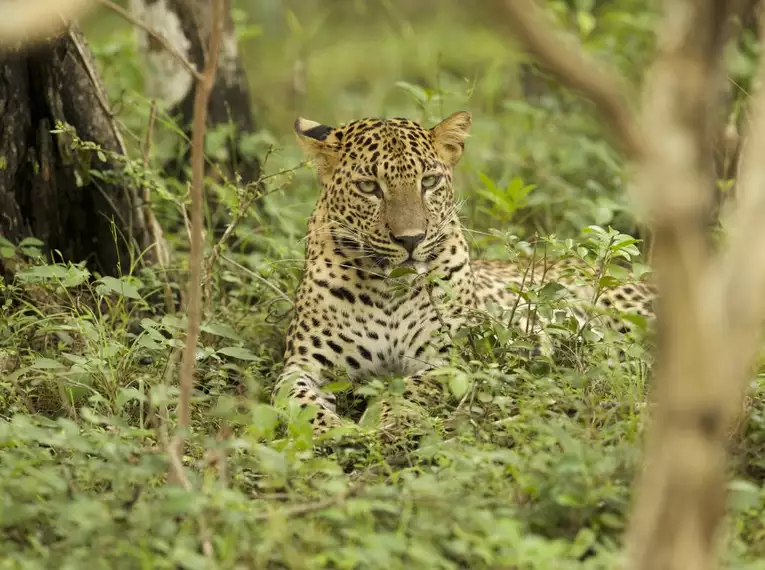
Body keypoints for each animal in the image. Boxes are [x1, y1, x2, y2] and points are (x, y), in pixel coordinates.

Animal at [272, 111, 652, 434]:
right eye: (368, 187)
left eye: (429, 182)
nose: (411, 239)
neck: (388, 289)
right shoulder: (303, 364)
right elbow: (294, 398)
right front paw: (328, 429)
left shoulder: (454, 356)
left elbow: (410, 387)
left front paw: (381, 417)